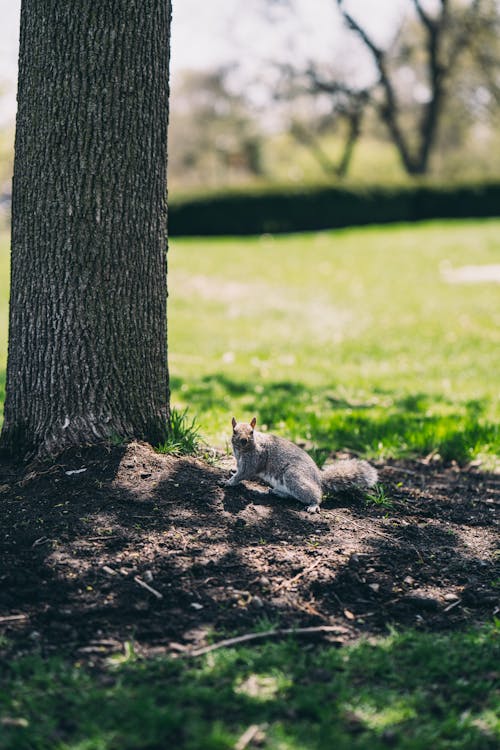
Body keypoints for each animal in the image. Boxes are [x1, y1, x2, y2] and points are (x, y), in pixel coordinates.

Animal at [226, 420, 376, 516]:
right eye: (234, 431)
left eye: (251, 432)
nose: (243, 440)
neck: (242, 450)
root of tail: (318, 478)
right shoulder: (239, 460)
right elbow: (239, 470)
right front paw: (232, 472)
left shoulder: (254, 459)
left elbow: (244, 473)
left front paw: (229, 482)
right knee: (290, 495)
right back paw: (276, 492)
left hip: (294, 476)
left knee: (314, 494)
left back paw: (313, 505)